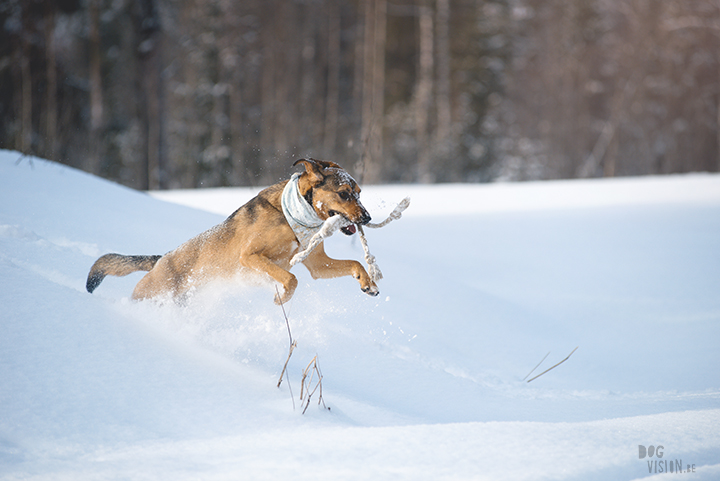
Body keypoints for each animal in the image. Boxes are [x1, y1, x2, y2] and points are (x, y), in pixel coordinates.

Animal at [86, 158, 380, 304]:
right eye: (344, 194)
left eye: (360, 193)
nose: (367, 218)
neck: (293, 216)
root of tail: (161, 259)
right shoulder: (249, 256)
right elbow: (291, 278)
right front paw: (282, 298)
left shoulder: (317, 263)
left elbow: (354, 263)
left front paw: (368, 283)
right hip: (151, 292)